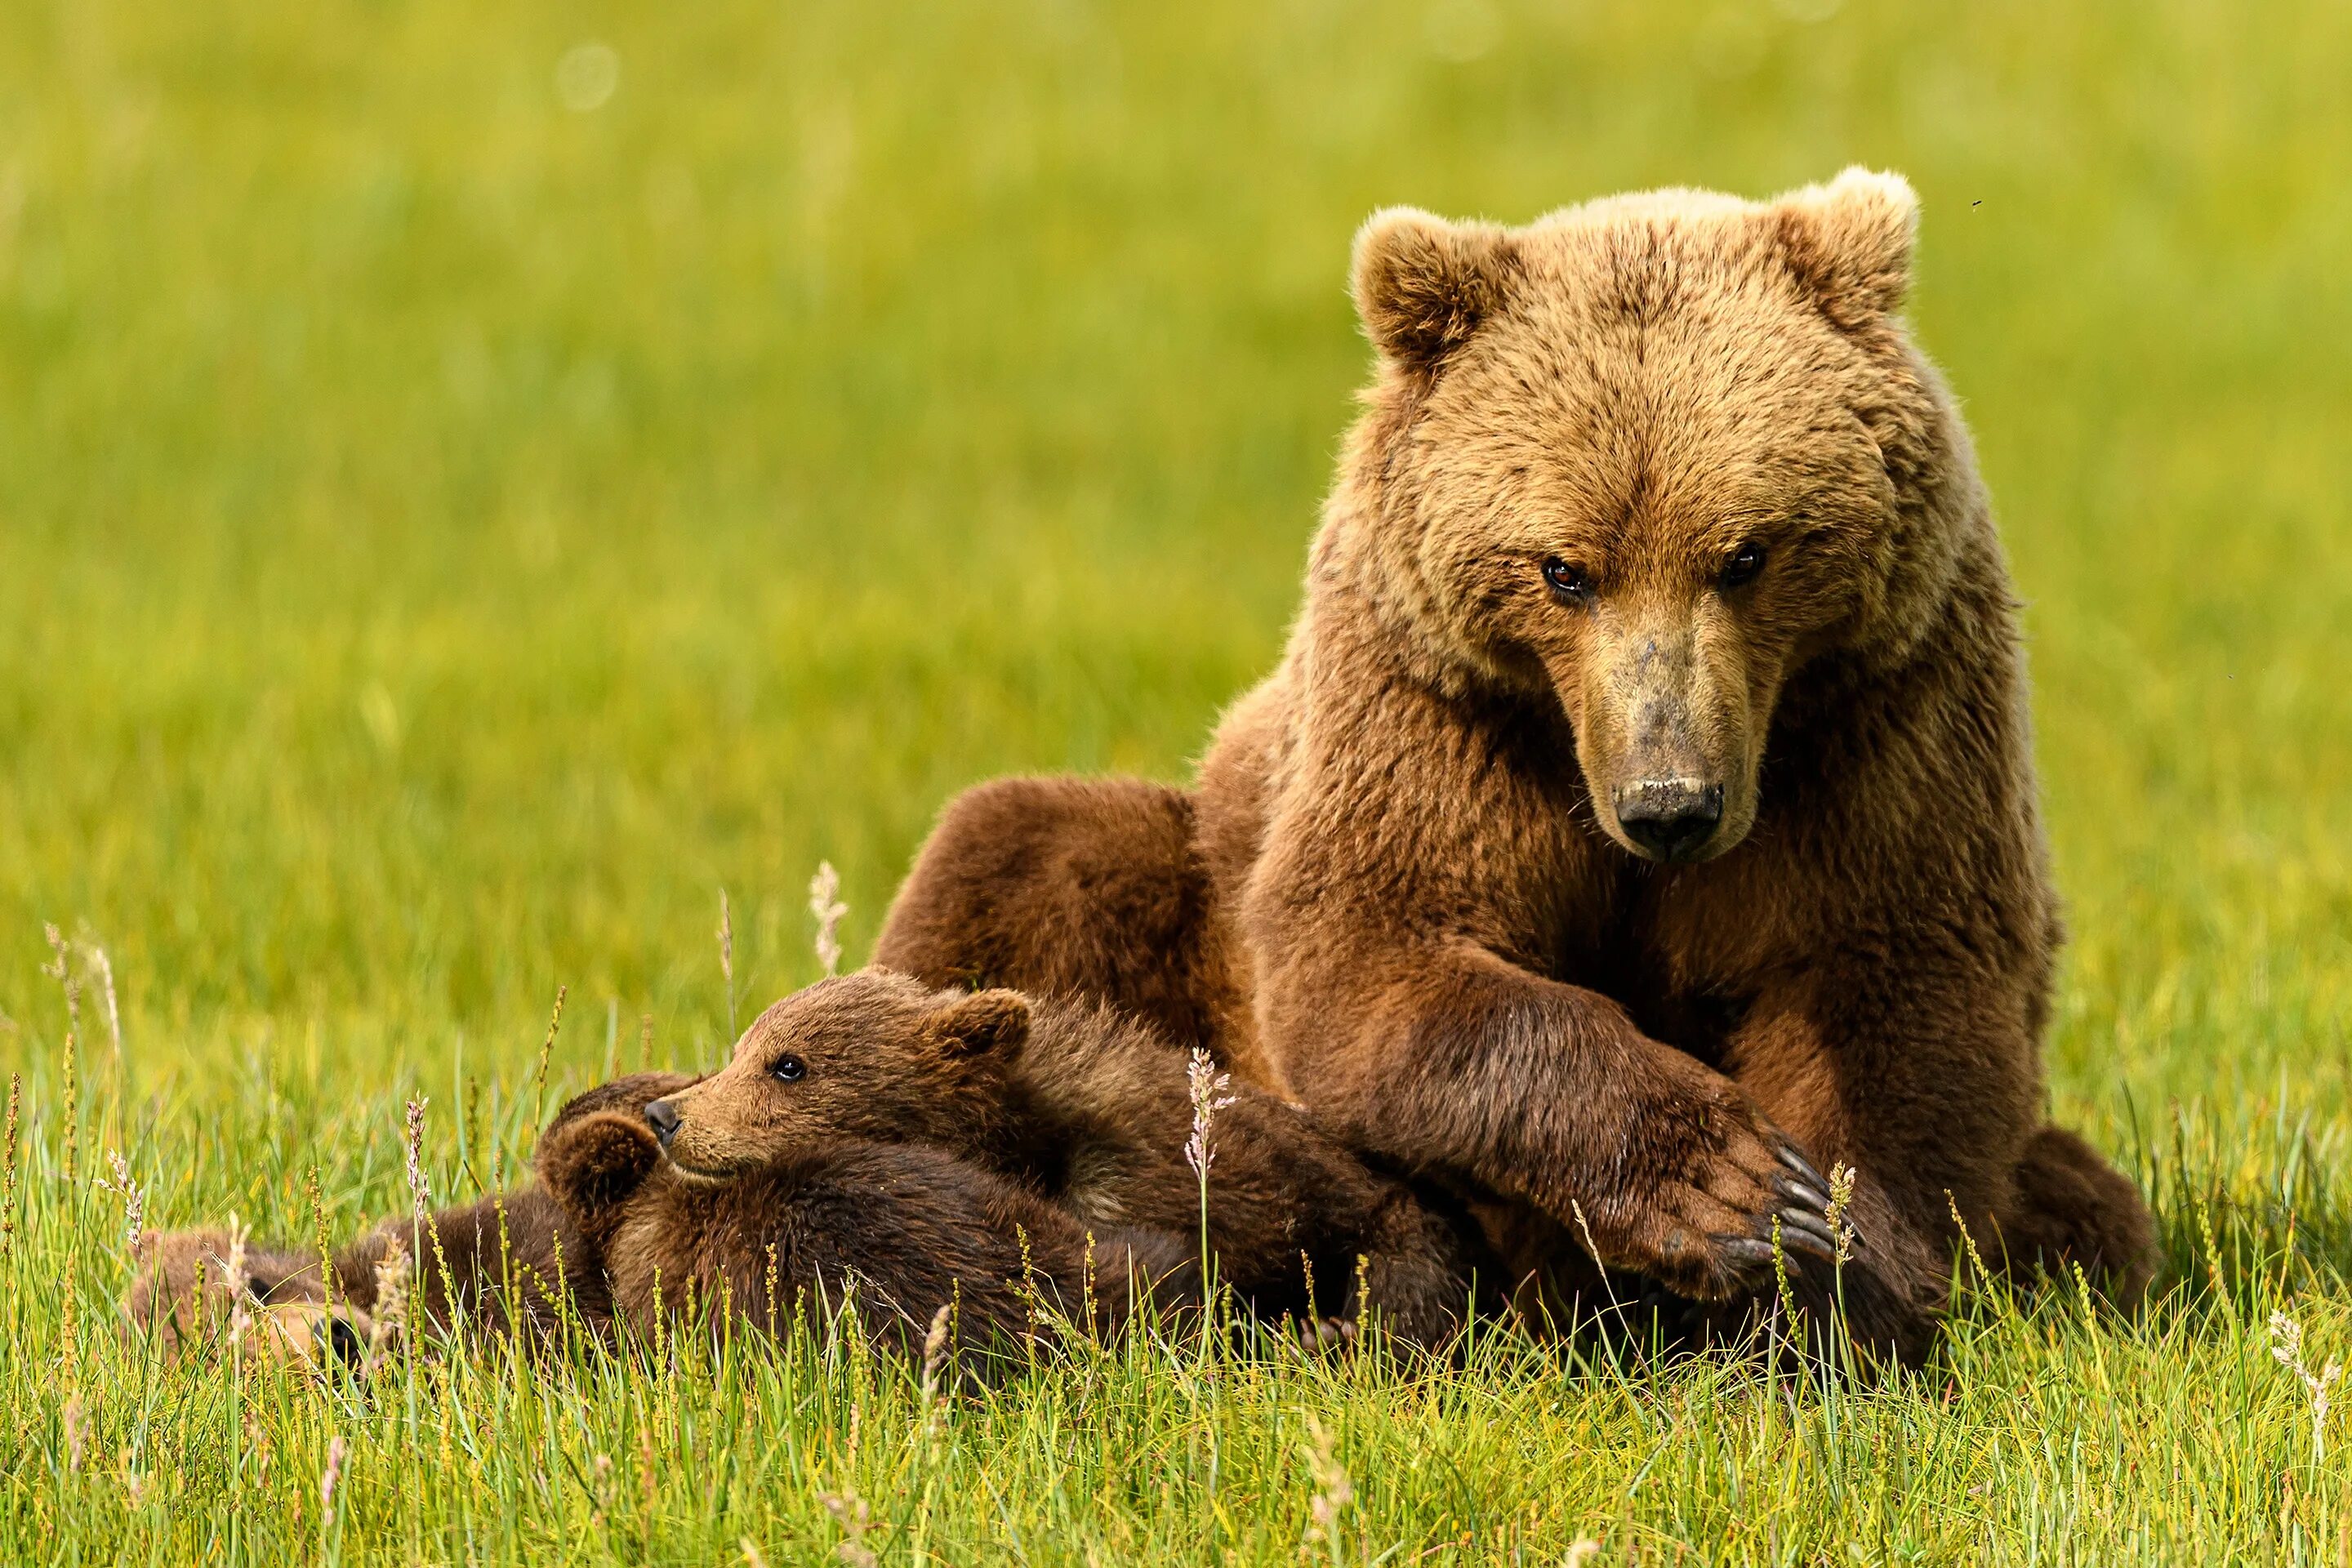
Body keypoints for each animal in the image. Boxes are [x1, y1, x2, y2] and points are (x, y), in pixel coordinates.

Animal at [880, 172, 2154, 1363]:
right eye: (1563, 569)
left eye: (1747, 554)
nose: (1669, 804)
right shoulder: (1435, 709)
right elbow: (1379, 949)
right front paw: (1721, 1182)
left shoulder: (1886, 715)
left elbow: (1896, 990)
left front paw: (1816, 1279)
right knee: (1025, 853)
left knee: (2097, 1208)